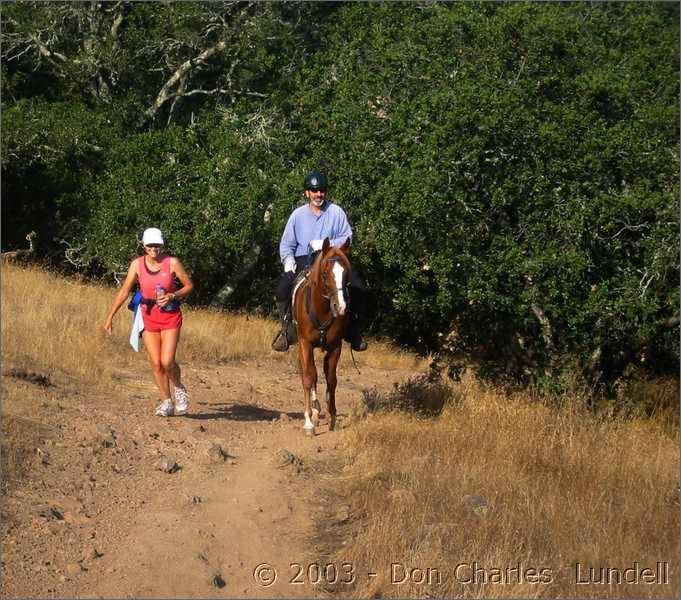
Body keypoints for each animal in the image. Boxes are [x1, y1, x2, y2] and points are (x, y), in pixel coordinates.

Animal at [292, 236, 350, 436]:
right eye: (325, 274)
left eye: (346, 274)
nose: (340, 307)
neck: (322, 311)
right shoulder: (305, 344)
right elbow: (309, 377)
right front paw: (309, 423)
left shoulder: (335, 347)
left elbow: (331, 380)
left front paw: (332, 417)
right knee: (309, 373)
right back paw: (314, 412)